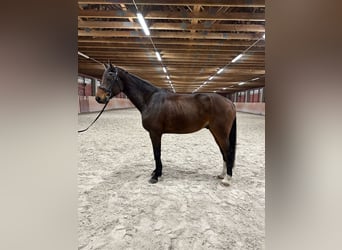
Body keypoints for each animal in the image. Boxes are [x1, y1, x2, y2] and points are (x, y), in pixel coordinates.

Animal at [95, 64, 236, 186]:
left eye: (110, 77)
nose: (98, 98)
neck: (150, 99)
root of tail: (229, 102)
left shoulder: (155, 133)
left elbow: (157, 153)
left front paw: (156, 176)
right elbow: (156, 153)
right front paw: (156, 172)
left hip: (220, 133)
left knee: (227, 152)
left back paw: (227, 179)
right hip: (215, 132)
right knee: (223, 152)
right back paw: (222, 175)